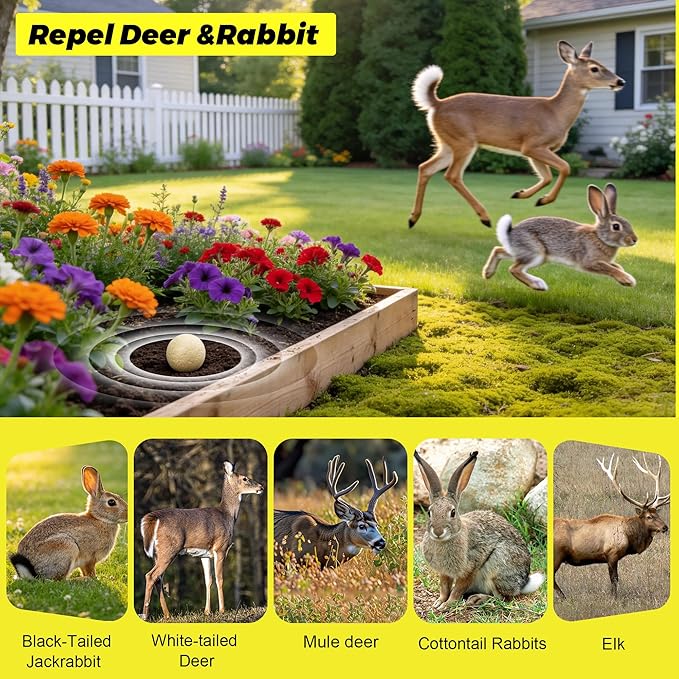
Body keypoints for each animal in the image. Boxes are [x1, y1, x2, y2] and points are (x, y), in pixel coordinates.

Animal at [139, 461, 264, 620]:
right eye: (245, 478)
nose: (261, 487)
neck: (228, 515)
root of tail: (154, 519)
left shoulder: (205, 554)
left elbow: (208, 580)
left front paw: (207, 611)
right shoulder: (220, 547)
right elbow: (219, 579)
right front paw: (222, 610)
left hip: (158, 552)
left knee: (158, 579)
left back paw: (167, 615)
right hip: (169, 549)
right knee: (151, 575)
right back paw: (146, 614)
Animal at [408, 41, 625, 229]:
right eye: (594, 69)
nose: (620, 81)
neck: (556, 113)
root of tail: (437, 104)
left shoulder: (534, 150)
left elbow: (547, 176)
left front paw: (524, 195)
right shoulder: (533, 144)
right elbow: (565, 167)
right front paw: (544, 200)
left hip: (447, 143)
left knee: (425, 168)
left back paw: (413, 218)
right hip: (463, 141)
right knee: (452, 175)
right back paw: (484, 217)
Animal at [415, 451, 544, 610]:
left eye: (453, 513)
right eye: (429, 512)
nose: (438, 532)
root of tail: (523, 583)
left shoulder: (470, 568)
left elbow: (457, 589)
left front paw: (448, 604)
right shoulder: (444, 573)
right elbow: (444, 587)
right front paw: (439, 602)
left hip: (498, 565)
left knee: (502, 597)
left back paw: (477, 599)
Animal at [482, 183, 638, 291]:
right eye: (616, 227)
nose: (634, 240)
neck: (600, 237)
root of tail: (510, 232)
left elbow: (616, 266)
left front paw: (624, 277)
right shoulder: (590, 262)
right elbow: (610, 269)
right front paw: (628, 280)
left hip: (521, 251)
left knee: (498, 250)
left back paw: (488, 274)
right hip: (536, 253)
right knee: (514, 269)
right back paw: (538, 285)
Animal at [554, 454, 670, 599]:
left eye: (657, 514)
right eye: (649, 516)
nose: (665, 527)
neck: (629, 537)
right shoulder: (612, 554)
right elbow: (614, 579)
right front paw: (614, 598)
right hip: (557, 554)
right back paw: (563, 597)